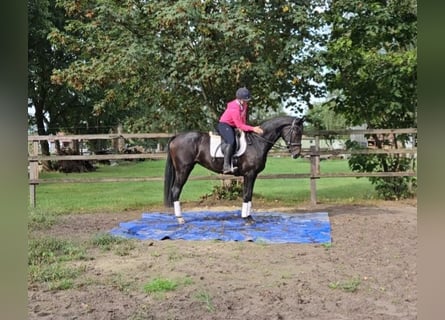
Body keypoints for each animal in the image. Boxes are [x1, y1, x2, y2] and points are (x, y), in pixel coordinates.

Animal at [165, 116, 304, 224]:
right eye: (296, 132)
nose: (297, 154)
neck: (258, 142)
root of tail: (176, 137)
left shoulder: (252, 175)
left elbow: (249, 195)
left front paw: (249, 217)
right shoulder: (249, 174)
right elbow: (246, 194)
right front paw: (246, 218)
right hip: (183, 169)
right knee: (176, 190)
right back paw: (180, 218)